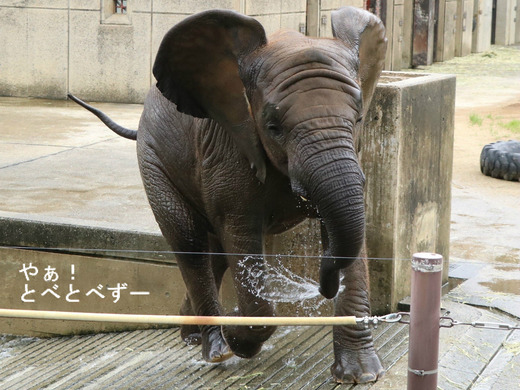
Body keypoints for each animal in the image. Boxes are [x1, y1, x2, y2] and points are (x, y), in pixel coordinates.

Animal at [69, 6, 386, 384]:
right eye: (273, 127)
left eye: (359, 119)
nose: (324, 287)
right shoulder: (228, 150)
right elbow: (240, 233)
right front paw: (240, 339)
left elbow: (349, 235)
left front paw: (360, 375)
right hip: (153, 160)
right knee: (189, 242)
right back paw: (216, 349)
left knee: (214, 251)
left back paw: (192, 336)